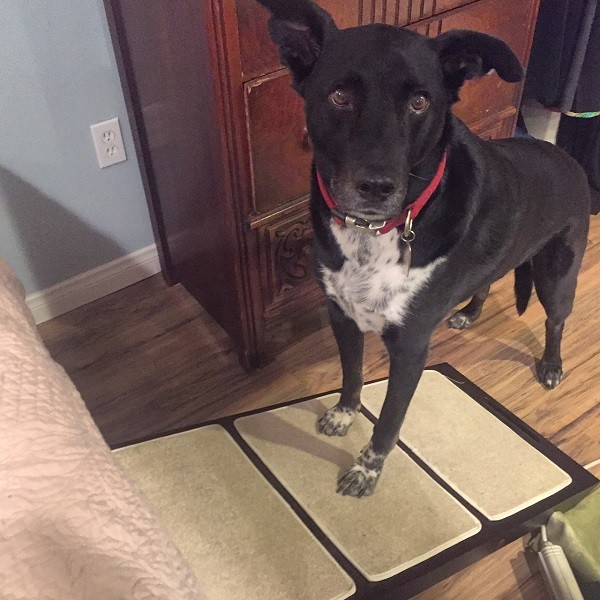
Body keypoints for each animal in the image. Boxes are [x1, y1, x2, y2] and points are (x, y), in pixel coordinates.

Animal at [255, 0, 588, 496]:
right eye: (339, 96)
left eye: (419, 102)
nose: (376, 187)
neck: (373, 233)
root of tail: (571, 161)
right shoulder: (341, 315)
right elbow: (351, 374)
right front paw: (343, 414)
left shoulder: (411, 348)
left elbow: (389, 421)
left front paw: (366, 471)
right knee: (486, 282)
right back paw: (470, 313)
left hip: (557, 275)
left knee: (556, 320)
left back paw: (550, 365)